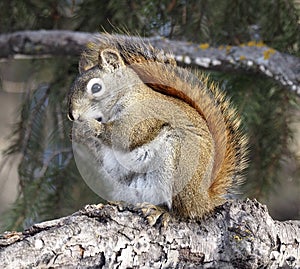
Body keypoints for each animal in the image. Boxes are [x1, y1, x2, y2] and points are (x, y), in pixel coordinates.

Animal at [68, 33, 248, 222]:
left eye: (96, 87)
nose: (73, 115)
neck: (127, 94)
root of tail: (204, 199)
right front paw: (77, 134)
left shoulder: (144, 114)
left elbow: (126, 135)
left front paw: (88, 126)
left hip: (177, 167)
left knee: (182, 211)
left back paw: (161, 210)